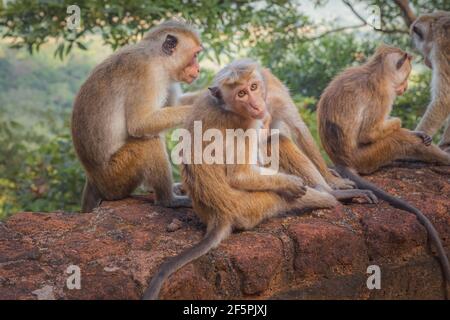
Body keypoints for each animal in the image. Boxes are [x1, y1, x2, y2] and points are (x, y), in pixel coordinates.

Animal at [71, 20, 202, 212]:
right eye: (195, 55)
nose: (199, 69)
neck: (158, 59)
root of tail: (93, 179)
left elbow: (175, 104)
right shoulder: (146, 74)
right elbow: (139, 123)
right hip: (116, 177)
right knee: (149, 142)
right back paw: (168, 200)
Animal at [143, 58, 376, 300]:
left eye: (253, 87)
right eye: (241, 93)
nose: (256, 105)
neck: (226, 107)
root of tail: (219, 214)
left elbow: (296, 130)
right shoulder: (246, 124)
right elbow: (241, 175)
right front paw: (293, 183)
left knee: (277, 140)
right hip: (255, 204)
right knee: (281, 162)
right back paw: (333, 195)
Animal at [316, 43, 450, 294]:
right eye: (406, 75)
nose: (405, 87)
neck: (376, 71)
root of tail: (342, 160)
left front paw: (420, 132)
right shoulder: (383, 95)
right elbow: (369, 133)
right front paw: (403, 125)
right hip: (367, 157)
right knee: (398, 140)